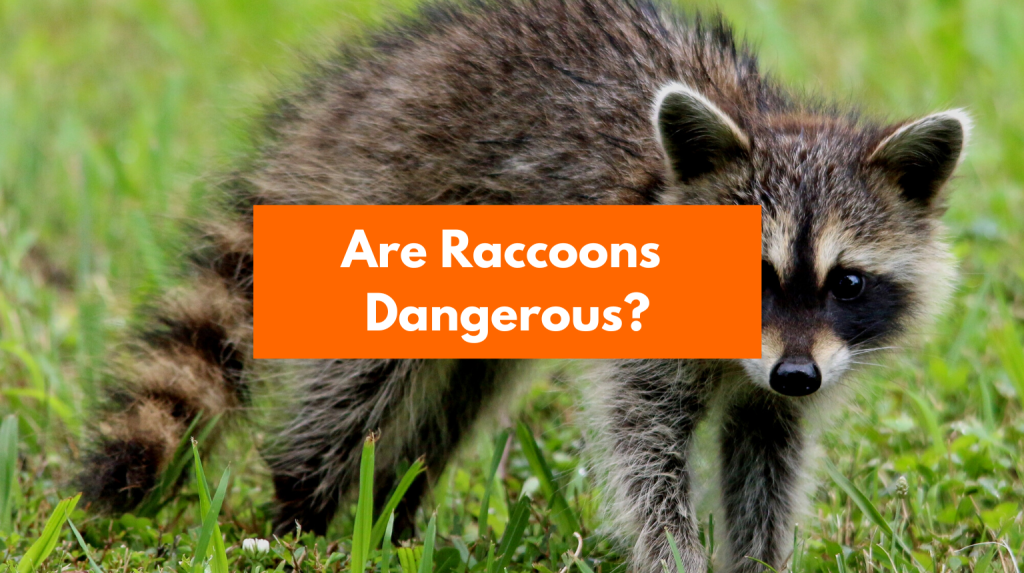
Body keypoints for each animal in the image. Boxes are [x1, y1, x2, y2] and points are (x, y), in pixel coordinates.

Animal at [78, 1, 969, 572]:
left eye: (847, 282)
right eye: (746, 274)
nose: (796, 373)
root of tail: (361, 87)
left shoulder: (786, 374)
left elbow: (766, 455)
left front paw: (757, 558)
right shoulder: (655, 345)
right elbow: (643, 448)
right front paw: (673, 554)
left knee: (459, 389)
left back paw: (395, 506)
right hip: (399, 194)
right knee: (363, 379)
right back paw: (306, 504)